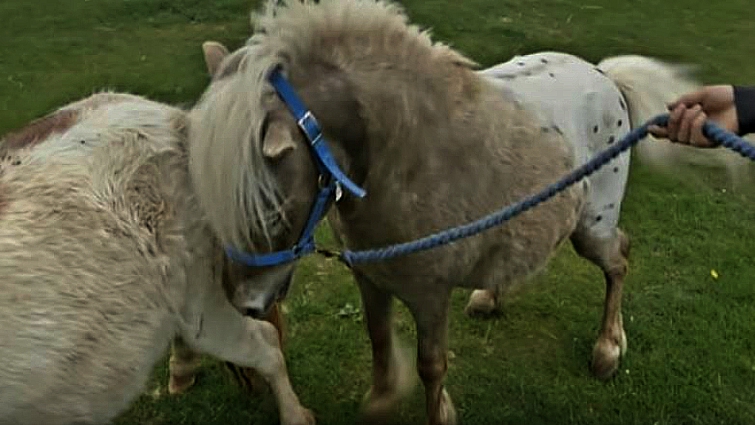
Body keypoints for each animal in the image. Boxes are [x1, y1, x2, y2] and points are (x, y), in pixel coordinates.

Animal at [186, 1, 744, 423]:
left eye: (266, 206)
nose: (245, 305)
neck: (403, 159)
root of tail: (604, 75)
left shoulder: (430, 294)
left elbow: (432, 365)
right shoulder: (371, 278)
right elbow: (379, 344)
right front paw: (382, 399)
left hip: (593, 226)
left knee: (619, 259)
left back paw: (607, 349)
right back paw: (489, 297)